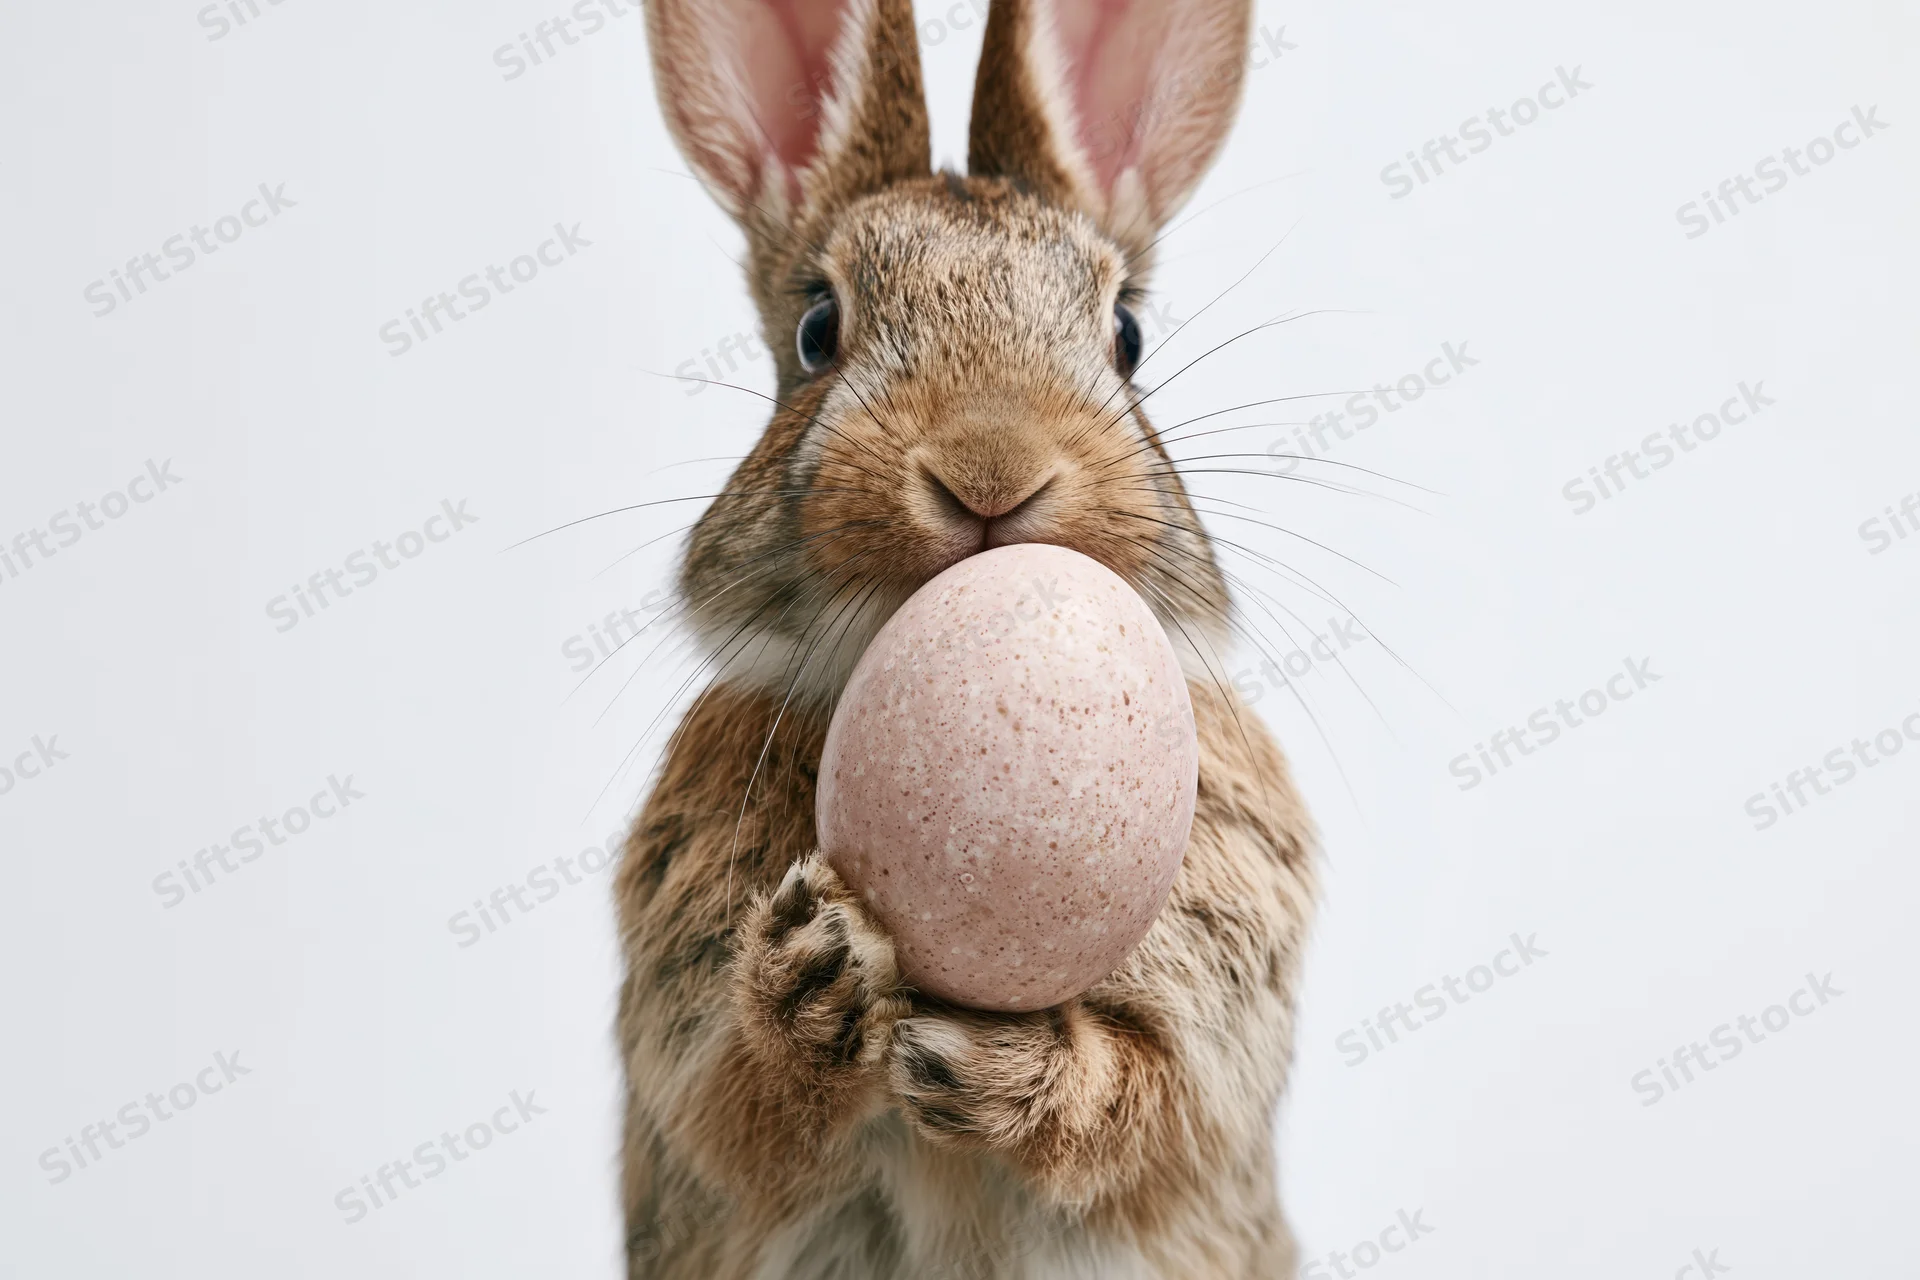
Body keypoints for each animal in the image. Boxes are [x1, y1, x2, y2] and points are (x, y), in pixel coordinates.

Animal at [614, 1, 1318, 1276]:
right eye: (819, 329)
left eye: (1127, 334)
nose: (990, 468)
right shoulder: (682, 1047)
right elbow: (737, 1110)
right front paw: (816, 970)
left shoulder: (1213, 1024)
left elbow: (1150, 1099)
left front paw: (1003, 1069)